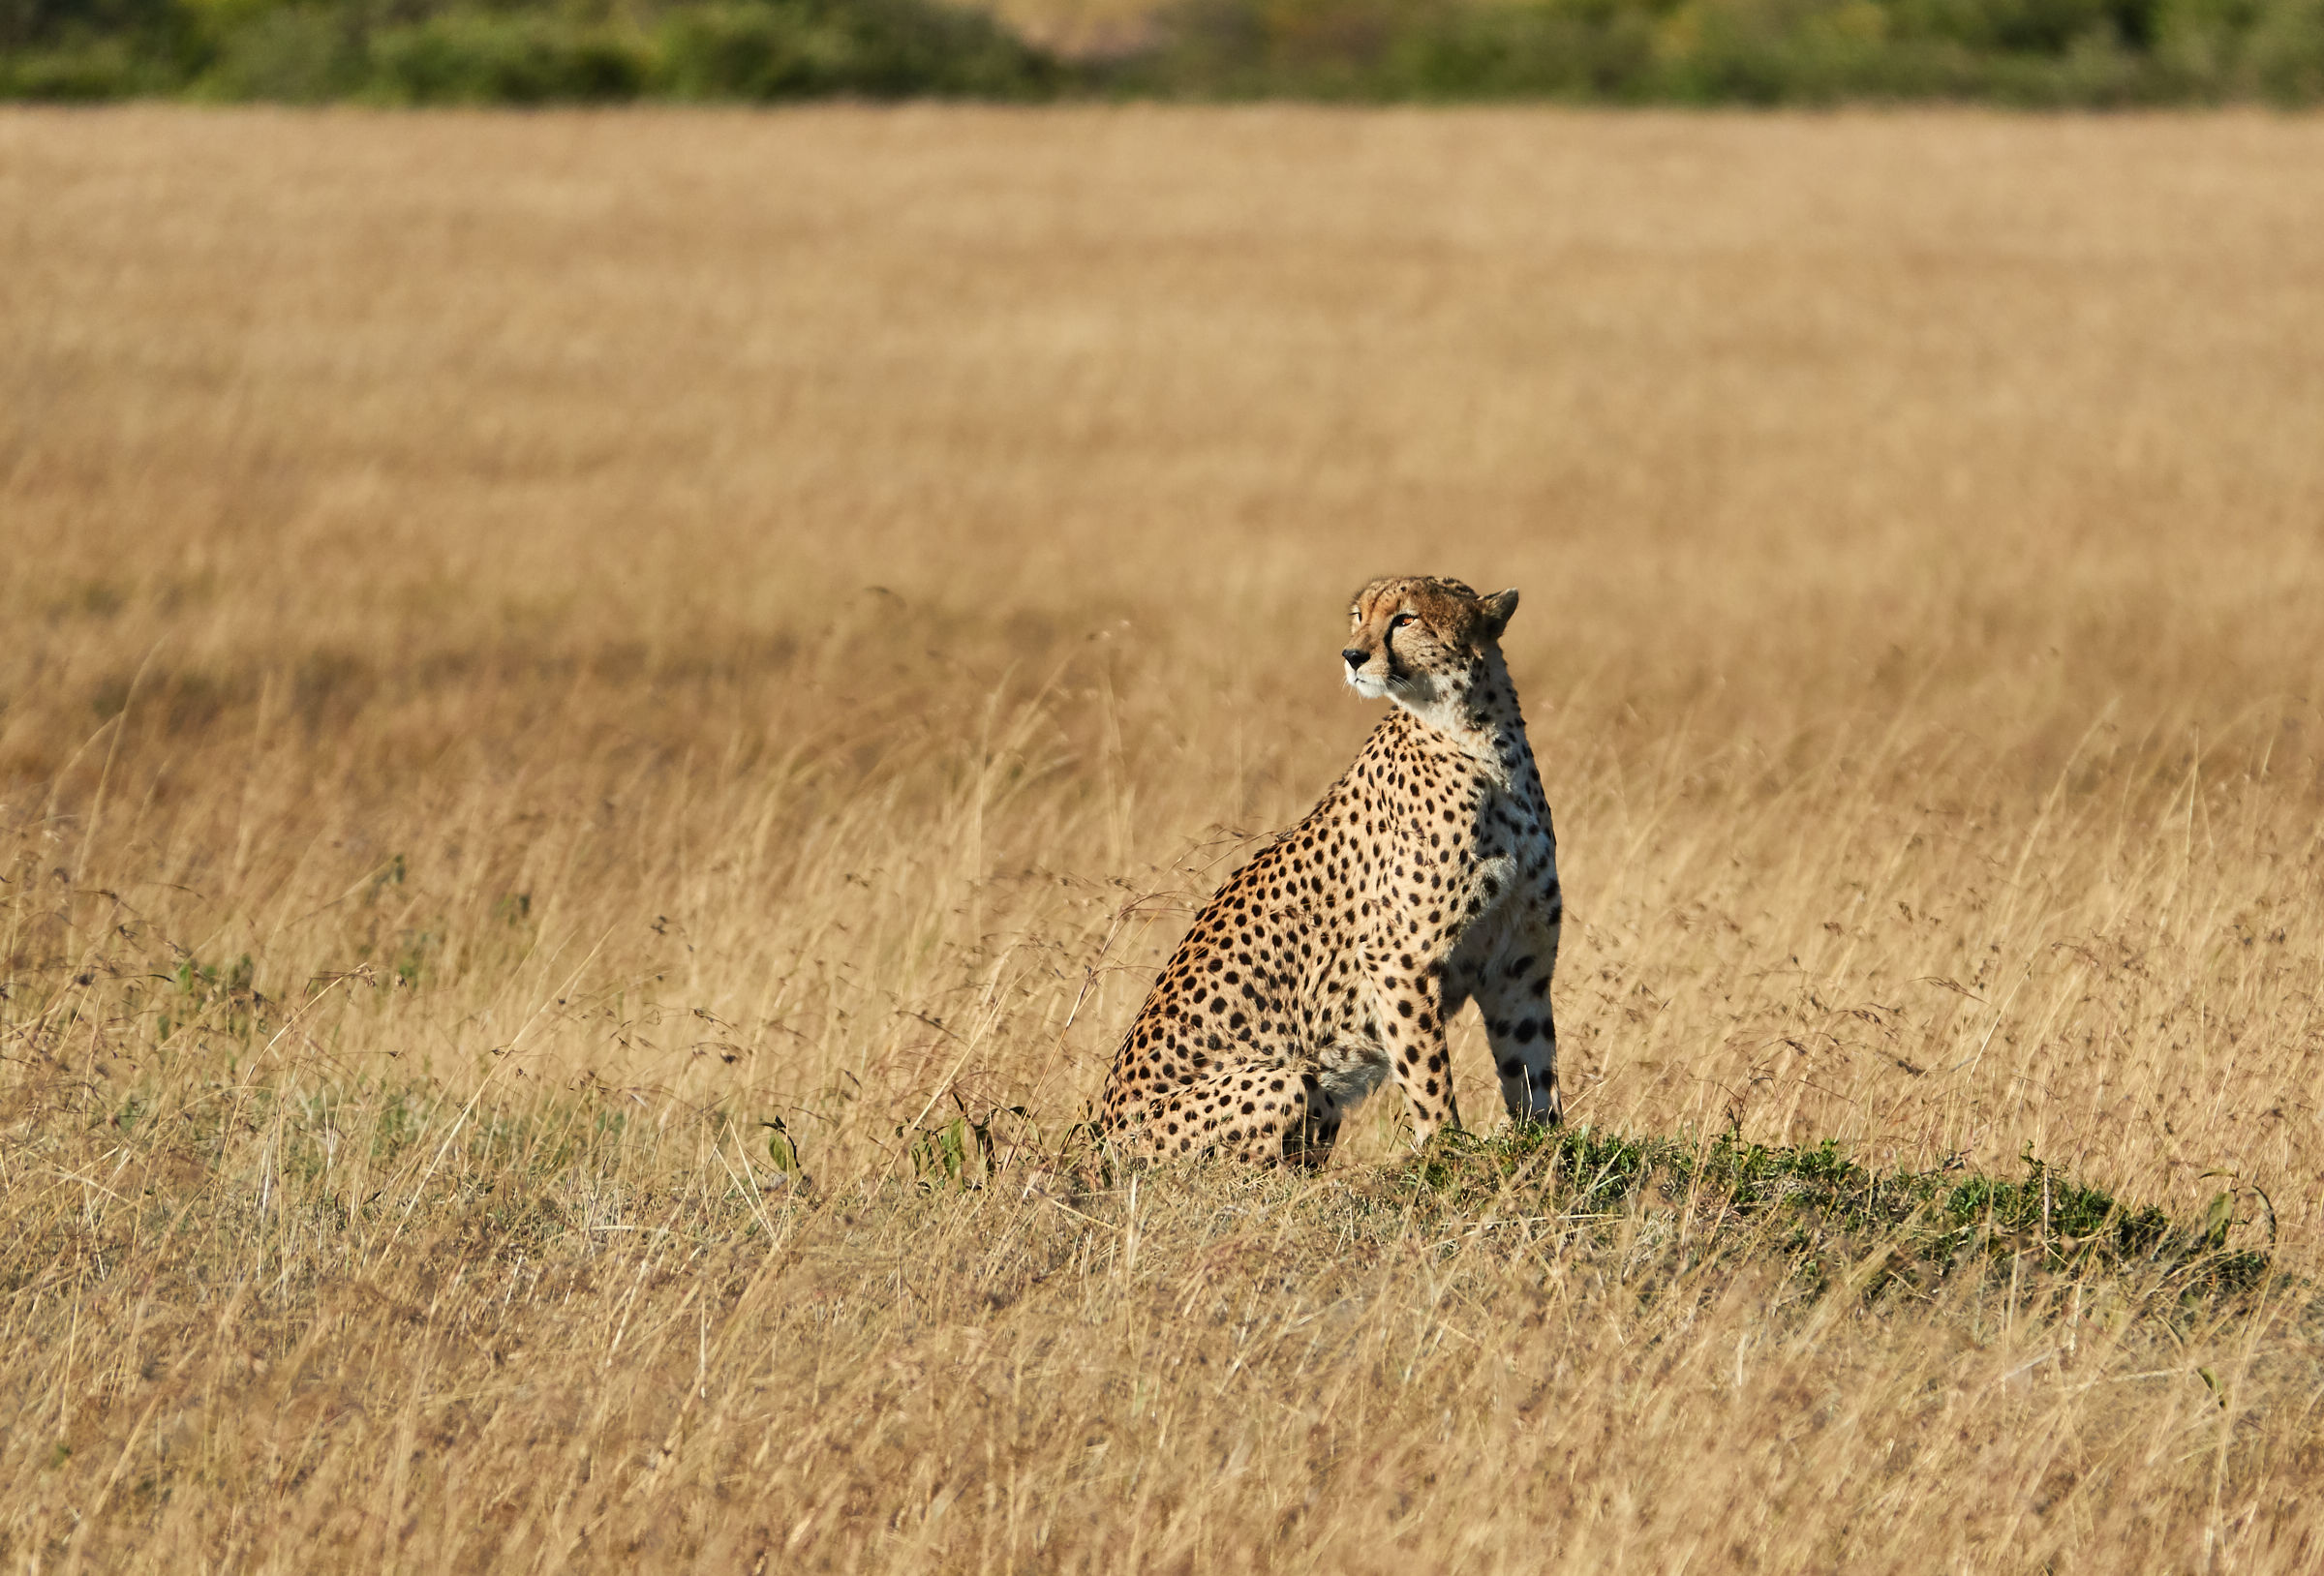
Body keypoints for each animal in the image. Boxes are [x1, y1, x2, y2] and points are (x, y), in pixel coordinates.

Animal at [1098, 574, 1564, 1166]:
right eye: (1358, 616)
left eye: (1405, 619)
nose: (1352, 655)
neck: (1479, 736)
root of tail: (1093, 1140)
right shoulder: (1397, 959)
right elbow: (1428, 1074)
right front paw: (1444, 1154)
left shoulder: (1519, 962)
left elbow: (1533, 1070)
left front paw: (1548, 1146)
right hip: (1286, 1080)